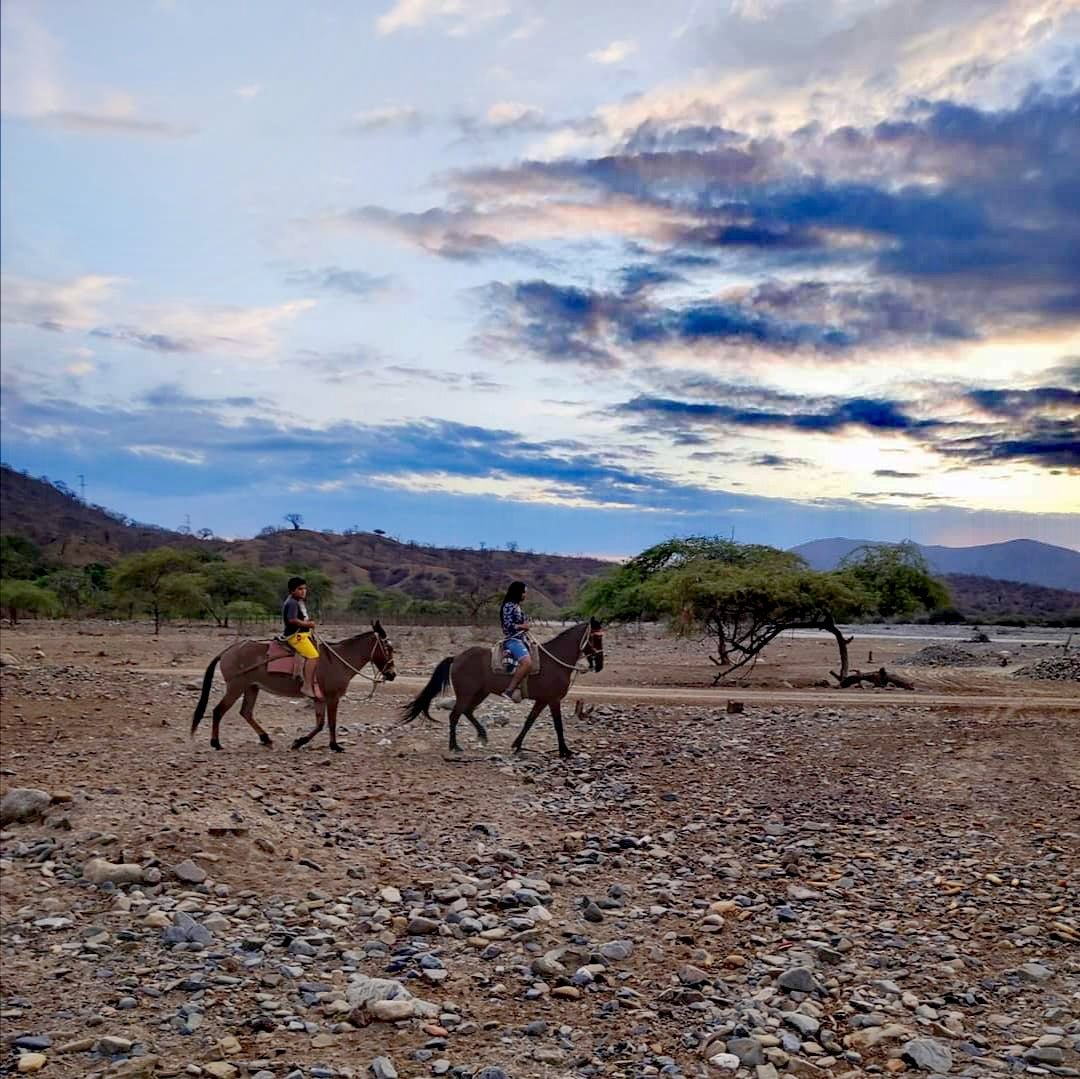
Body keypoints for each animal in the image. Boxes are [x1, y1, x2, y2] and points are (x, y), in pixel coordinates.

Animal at [192, 626, 395, 751]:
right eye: (388, 648)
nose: (392, 674)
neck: (338, 659)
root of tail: (227, 650)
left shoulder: (319, 698)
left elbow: (320, 724)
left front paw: (299, 742)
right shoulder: (332, 697)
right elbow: (331, 723)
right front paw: (335, 746)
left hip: (251, 687)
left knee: (246, 712)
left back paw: (265, 739)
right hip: (236, 687)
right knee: (219, 711)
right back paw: (216, 743)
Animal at [406, 617, 604, 760]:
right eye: (595, 637)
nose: (600, 665)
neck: (555, 661)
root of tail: (456, 658)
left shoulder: (542, 700)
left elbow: (529, 721)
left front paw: (517, 746)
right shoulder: (553, 700)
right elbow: (558, 726)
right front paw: (565, 751)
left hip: (481, 692)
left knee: (468, 711)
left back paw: (482, 735)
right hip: (466, 693)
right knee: (455, 715)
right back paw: (454, 746)